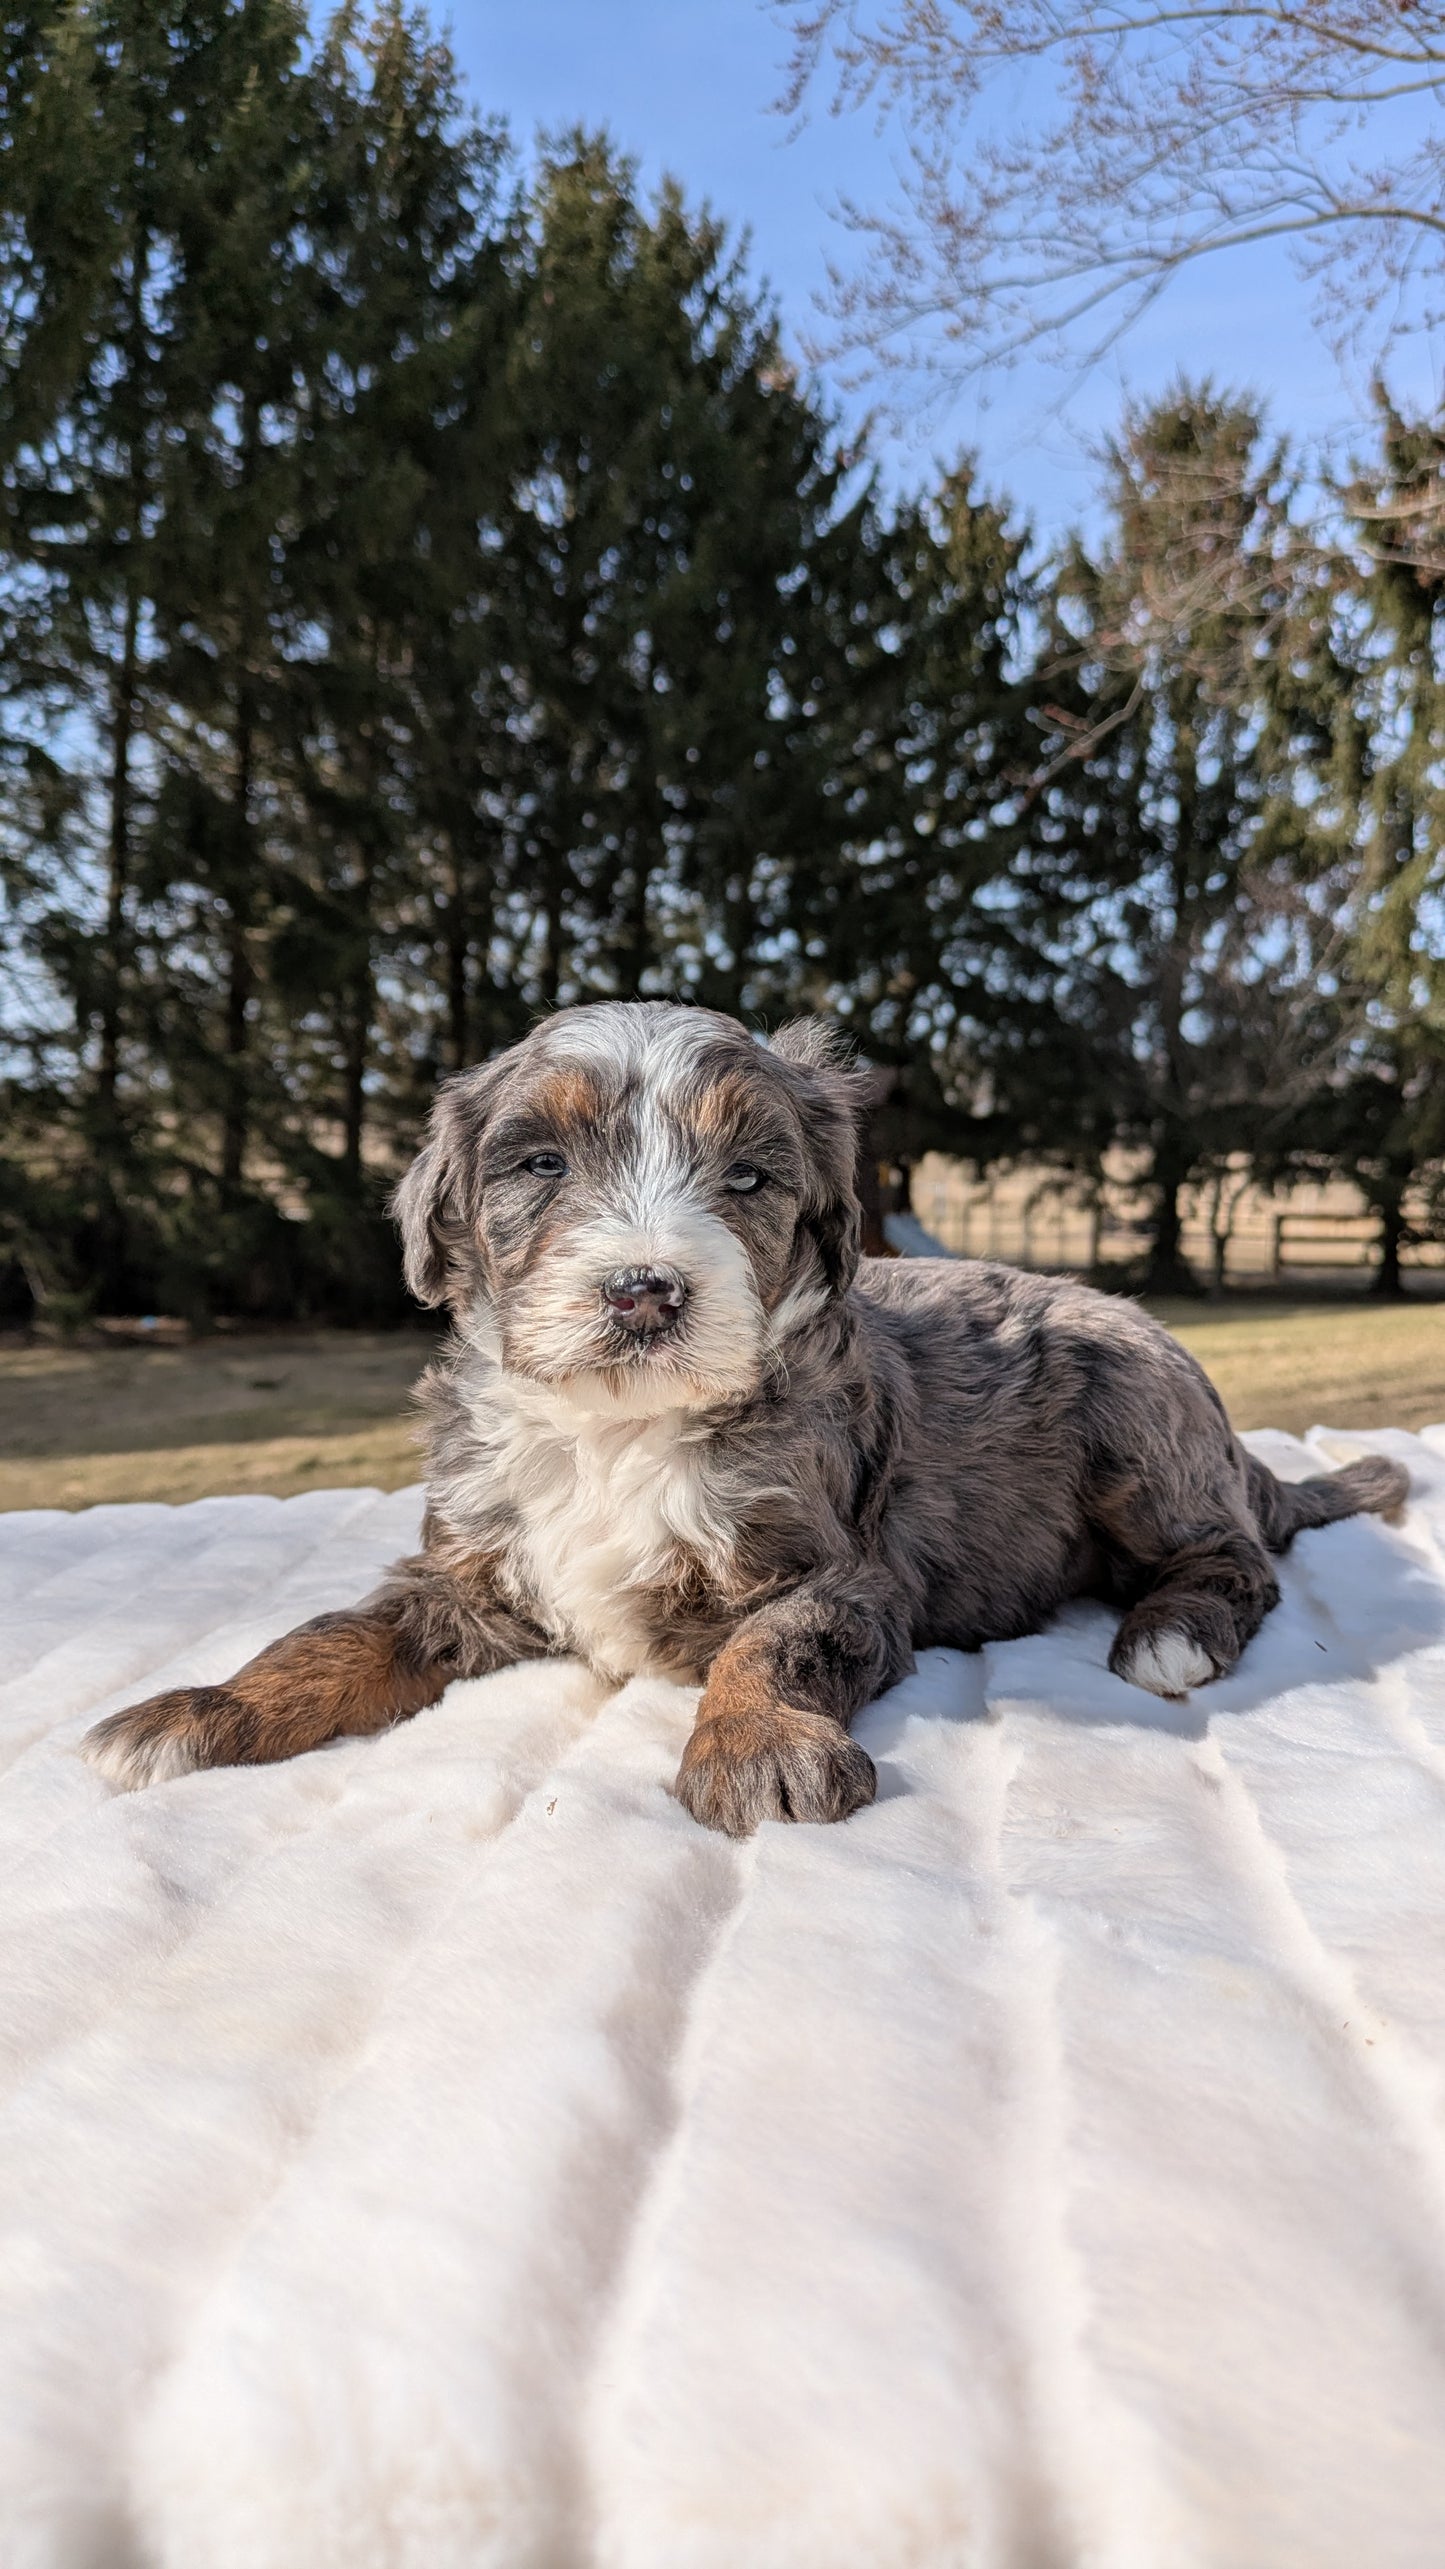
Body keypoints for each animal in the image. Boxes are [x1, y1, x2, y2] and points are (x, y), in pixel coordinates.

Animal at [81, 996, 1409, 1829]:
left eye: (751, 1176)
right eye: (540, 1164)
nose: (644, 1289)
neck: (617, 1428)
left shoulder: (840, 1567)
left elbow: (770, 1642)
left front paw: (752, 1746)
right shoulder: (463, 1572)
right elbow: (328, 1635)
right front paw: (198, 1711)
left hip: (1138, 1418)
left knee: (1235, 1552)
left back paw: (1169, 1630)